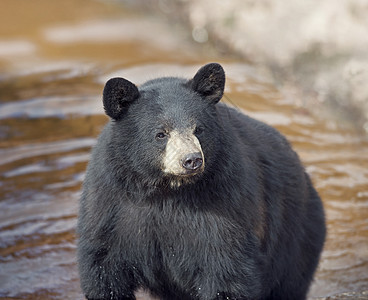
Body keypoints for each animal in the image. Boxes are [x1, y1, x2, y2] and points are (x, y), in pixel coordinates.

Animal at [77, 62, 324, 298]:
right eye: (161, 134)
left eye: (198, 129)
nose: (192, 160)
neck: (167, 191)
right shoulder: (112, 205)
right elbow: (104, 266)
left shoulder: (225, 198)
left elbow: (226, 267)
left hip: (296, 238)